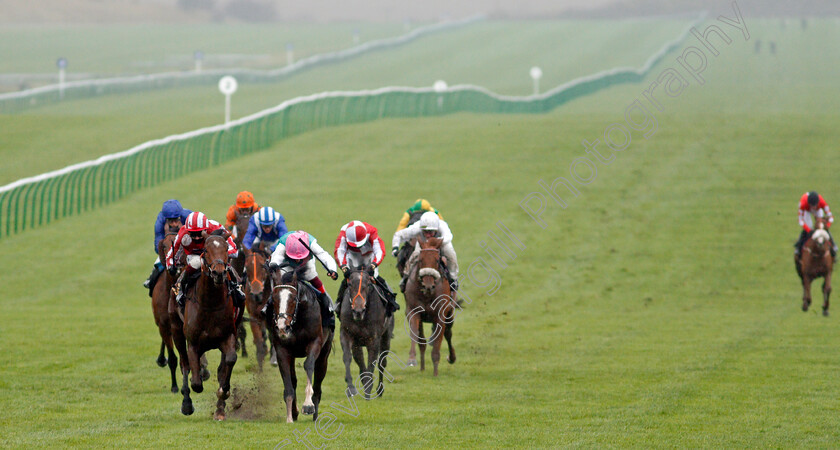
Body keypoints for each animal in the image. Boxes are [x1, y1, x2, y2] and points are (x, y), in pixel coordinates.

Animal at [169, 234, 238, 420]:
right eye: (206, 250)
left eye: (226, 248)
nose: (219, 273)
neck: (210, 303)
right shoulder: (193, 342)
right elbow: (195, 382)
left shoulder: (228, 335)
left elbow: (230, 360)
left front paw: (223, 392)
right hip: (176, 330)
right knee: (184, 363)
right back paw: (186, 403)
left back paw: (220, 410)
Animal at [270, 268, 334, 422]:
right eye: (274, 299)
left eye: (293, 298)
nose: (282, 327)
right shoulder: (282, 349)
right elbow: (289, 383)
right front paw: (289, 417)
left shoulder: (315, 343)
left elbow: (308, 365)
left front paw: (308, 405)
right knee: (293, 380)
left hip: (324, 354)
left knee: (318, 383)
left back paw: (315, 414)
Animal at [338, 266, 394, 400]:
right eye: (350, 284)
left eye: (368, 284)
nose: (358, 311)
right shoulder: (347, 335)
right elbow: (348, 357)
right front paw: (351, 388)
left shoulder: (374, 339)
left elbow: (372, 361)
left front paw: (368, 390)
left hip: (386, 337)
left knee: (382, 362)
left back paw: (379, 389)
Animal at [404, 237, 456, 378]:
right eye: (420, 259)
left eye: (437, 260)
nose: (428, 286)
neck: (427, 294)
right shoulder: (413, 311)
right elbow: (415, 333)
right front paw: (411, 359)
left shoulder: (440, 315)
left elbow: (438, 342)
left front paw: (436, 372)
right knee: (422, 342)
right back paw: (422, 367)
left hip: (450, 314)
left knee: (448, 334)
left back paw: (452, 357)